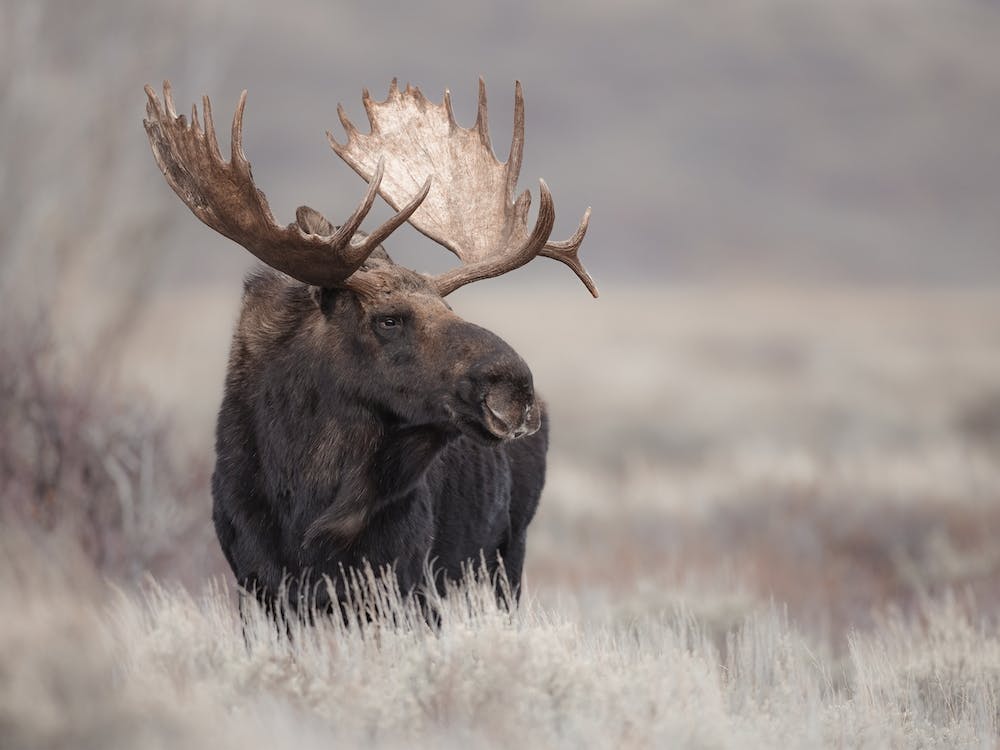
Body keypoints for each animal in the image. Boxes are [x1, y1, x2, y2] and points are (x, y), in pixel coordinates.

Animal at [142, 78, 595, 616]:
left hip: (508, 554)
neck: (310, 499)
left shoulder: (408, 581)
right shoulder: (258, 586)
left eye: (449, 308)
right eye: (389, 319)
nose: (515, 389)